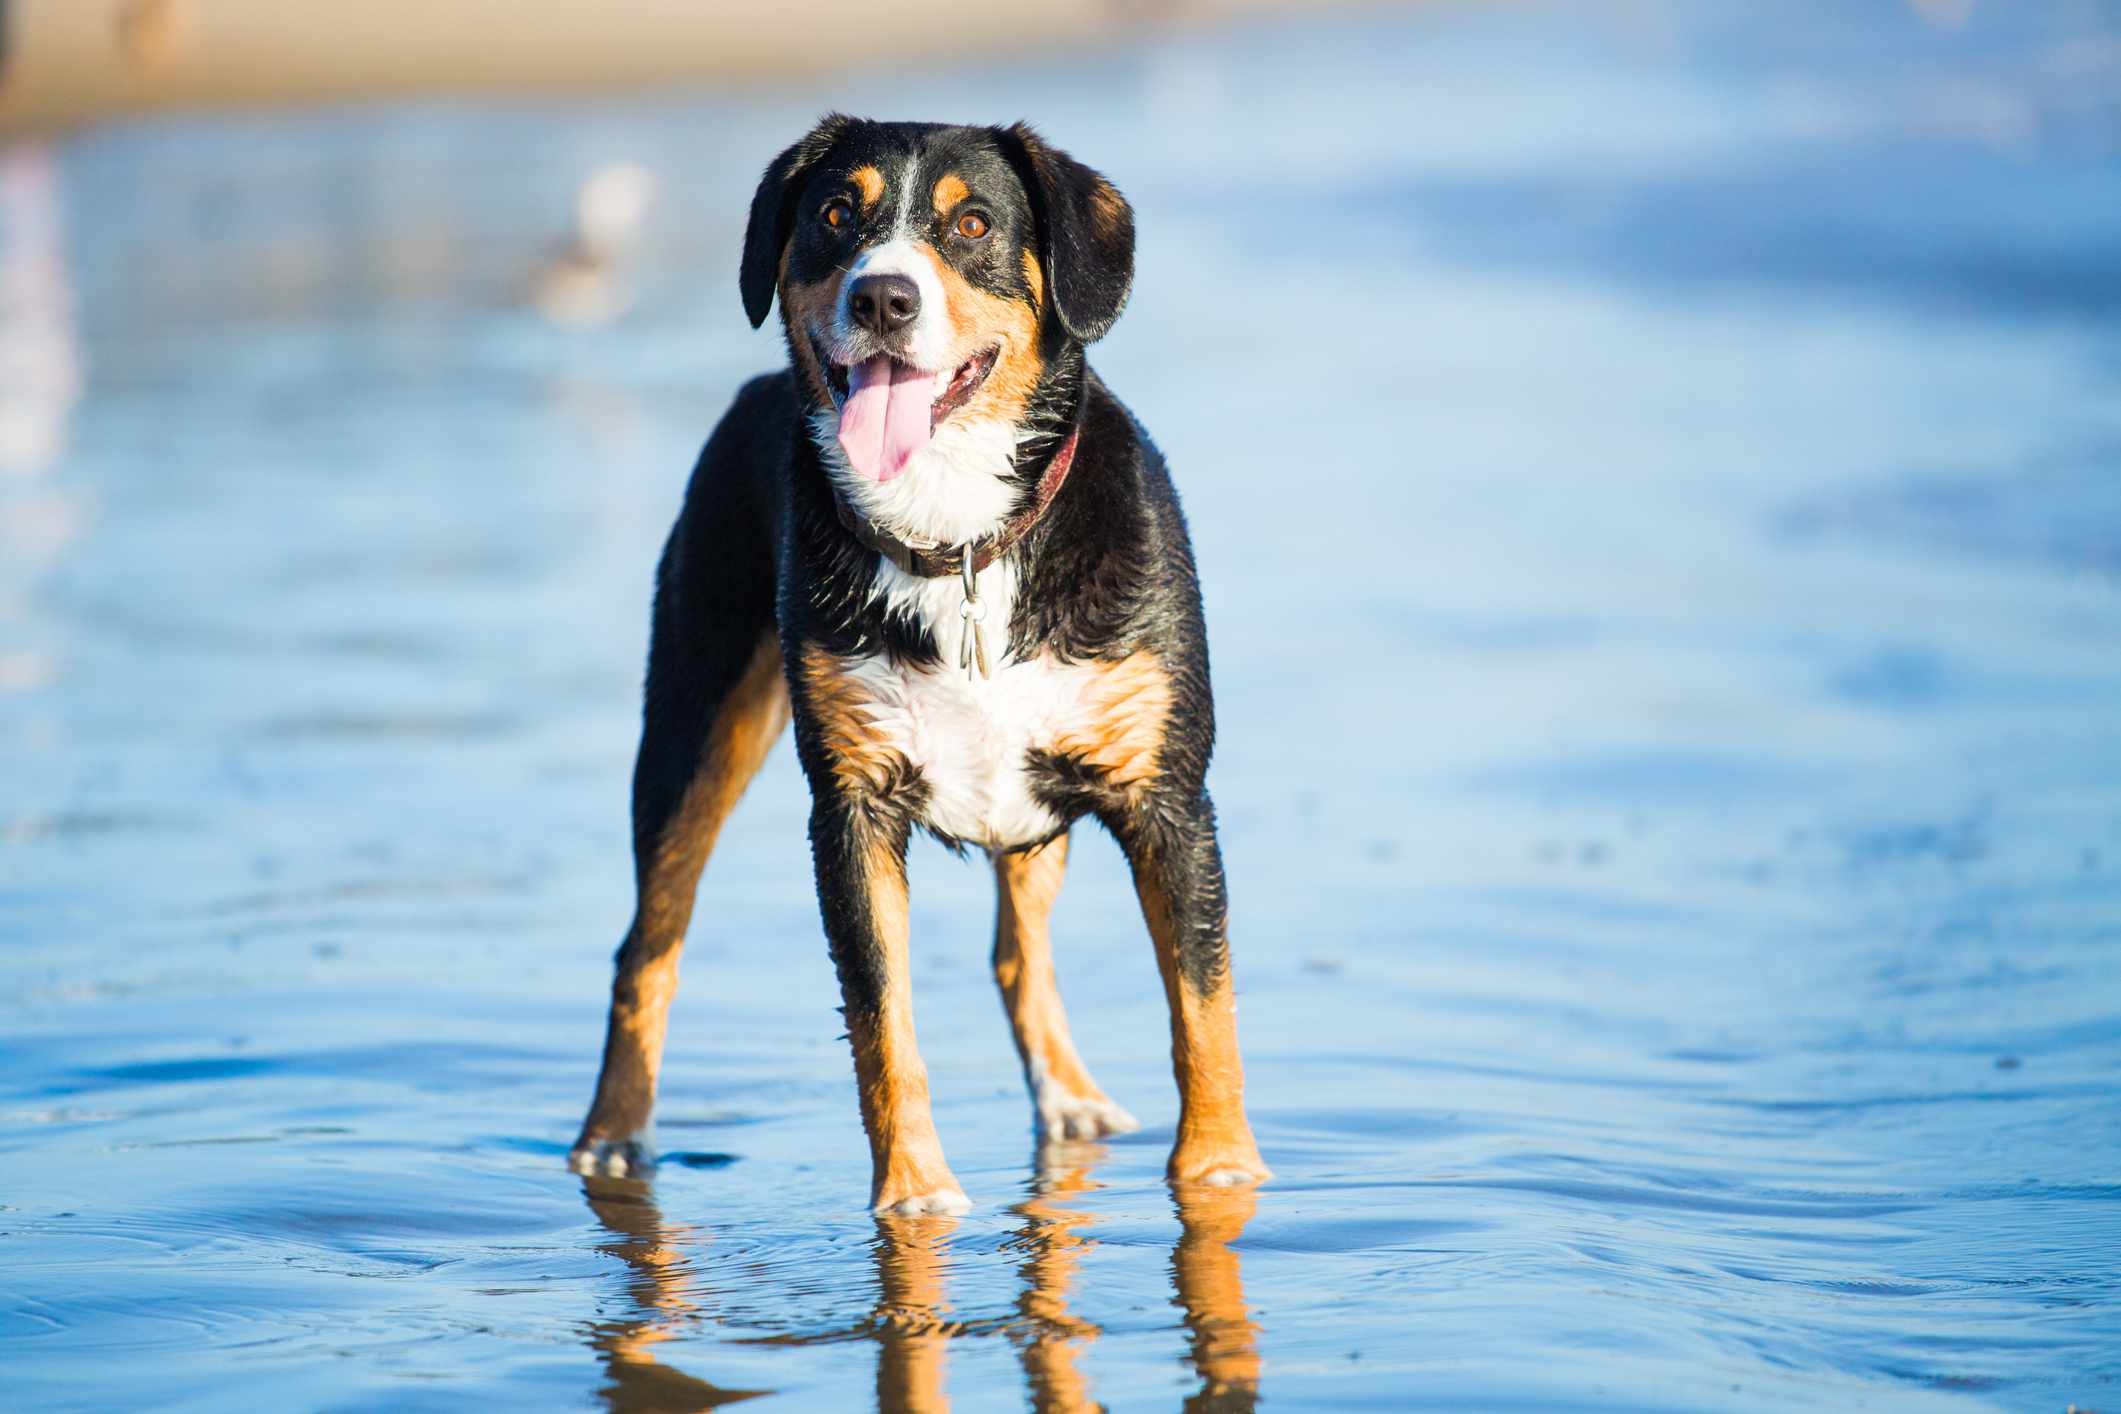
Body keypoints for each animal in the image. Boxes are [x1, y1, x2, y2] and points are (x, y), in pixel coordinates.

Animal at [564, 116, 1264, 1221]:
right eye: (833, 215)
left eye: (970, 223)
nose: (882, 298)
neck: (960, 537)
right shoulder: (851, 814)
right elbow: (882, 1023)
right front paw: (915, 1194)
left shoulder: (1169, 800)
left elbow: (1203, 1006)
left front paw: (1220, 1173)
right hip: (693, 731)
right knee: (648, 945)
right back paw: (612, 1136)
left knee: (1019, 954)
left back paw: (1070, 1100)